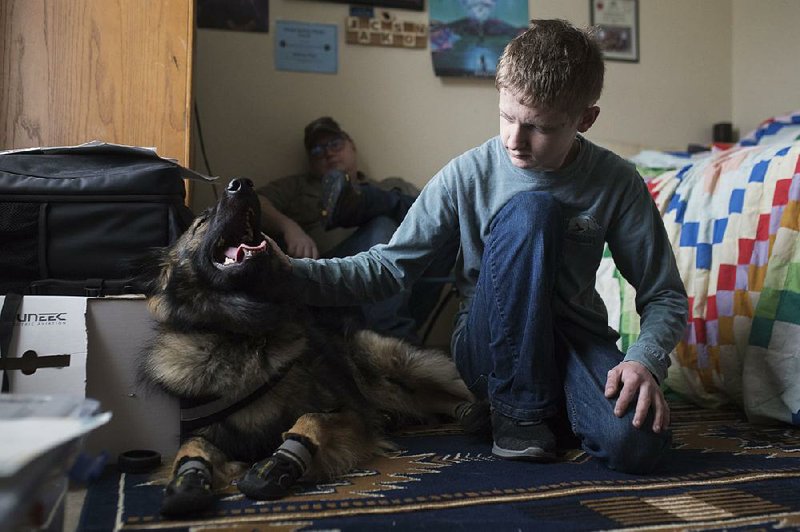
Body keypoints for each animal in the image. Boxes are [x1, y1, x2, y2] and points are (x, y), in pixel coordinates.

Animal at [139, 178, 488, 516]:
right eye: (201, 222)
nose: (242, 184)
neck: (243, 333)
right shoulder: (206, 432)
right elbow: (190, 448)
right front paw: (188, 481)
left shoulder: (349, 412)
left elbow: (310, 420)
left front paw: (278, 464)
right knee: (429, 402)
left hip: (397, 363)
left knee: (452, 389)